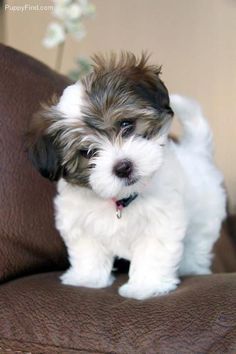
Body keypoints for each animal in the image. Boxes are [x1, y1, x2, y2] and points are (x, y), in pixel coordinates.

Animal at [28, 54, 227, 300]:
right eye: (87, 152)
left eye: (126, 124)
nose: (123, 167)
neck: (122, 199)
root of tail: (196, 151)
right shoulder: (79, 221)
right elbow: (88, 250)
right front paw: (87, 279)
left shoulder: (161, 222)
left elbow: (152, 253)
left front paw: (146, 286)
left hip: (205, 218)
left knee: (198, 243)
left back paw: (192, 267)